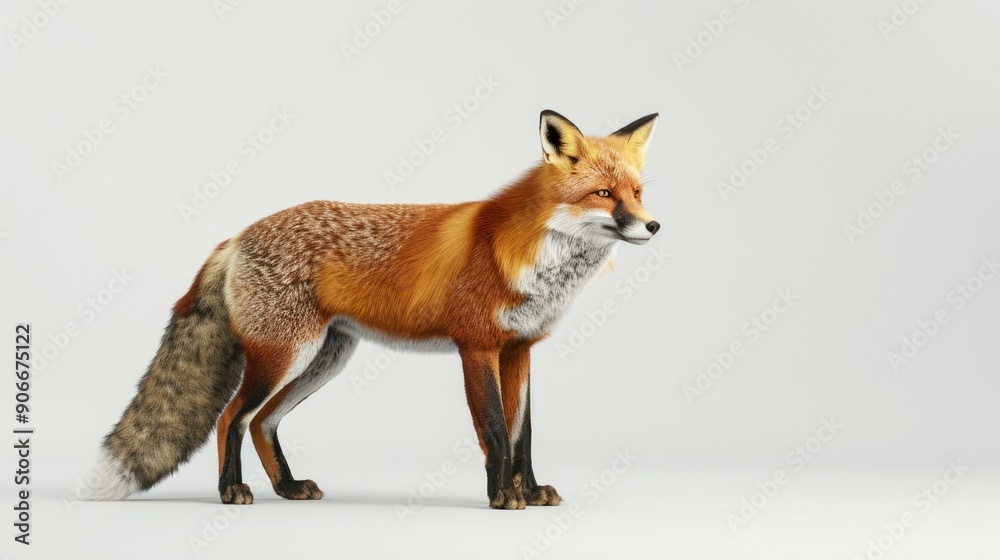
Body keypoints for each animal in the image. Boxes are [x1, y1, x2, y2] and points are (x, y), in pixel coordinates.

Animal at [86, 110, 660, 509]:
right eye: (603, 194)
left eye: (636, 192)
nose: (653, 226)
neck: (534, 263)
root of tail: (239, 235)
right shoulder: (476, 347)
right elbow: (496, 430)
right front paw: (502, 496)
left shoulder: (520, 349)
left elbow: (525, 435)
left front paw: (531, 492)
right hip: (285, 355)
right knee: (232, 416)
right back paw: (233, 491)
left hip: (323, 359)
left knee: (262, 422)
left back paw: (288, 487)